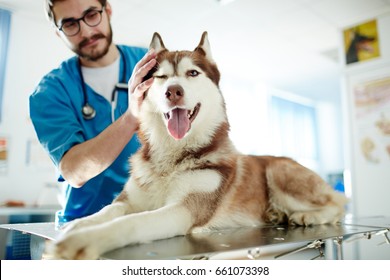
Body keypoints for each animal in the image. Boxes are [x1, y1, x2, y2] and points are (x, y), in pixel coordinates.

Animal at [50, 31, 346, 260]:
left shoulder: (183, 210)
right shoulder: (129, 200)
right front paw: (77, 226)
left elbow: (131, 221)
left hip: (278, 171)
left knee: (339, 201)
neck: (171, 157)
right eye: (160, 77)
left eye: (192, 73)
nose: (173, 91)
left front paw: (86, 239)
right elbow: (107, 211)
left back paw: (309, 216)